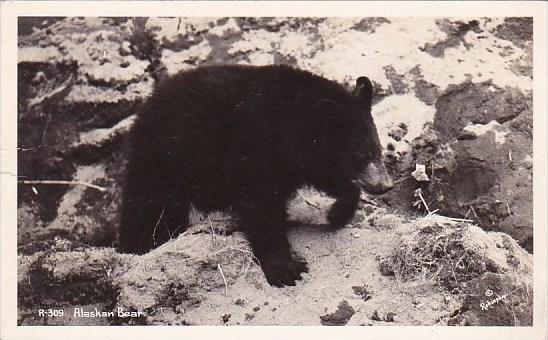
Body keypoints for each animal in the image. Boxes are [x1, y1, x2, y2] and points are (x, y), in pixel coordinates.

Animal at [120, 64, 394, 286]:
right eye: (360, 155)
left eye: (378, 149)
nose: (385, 185)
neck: (287, 125)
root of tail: (145, 108)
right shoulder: (251, 148)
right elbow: (259, 205)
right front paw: (285, 269)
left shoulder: (300, 161)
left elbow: (329, 178)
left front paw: (337, 214)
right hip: (164, 159)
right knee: (147, 209)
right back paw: (138, 247)